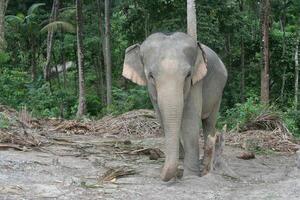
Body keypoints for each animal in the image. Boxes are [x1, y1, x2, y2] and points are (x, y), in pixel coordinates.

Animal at [122, 32, 227, 181]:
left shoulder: (196, 83)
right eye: (151, 76)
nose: (161, 172)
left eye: (188, 75)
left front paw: (190, 176)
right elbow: (161, 117)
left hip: (219, 92)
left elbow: (190, 121)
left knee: (209, 122)